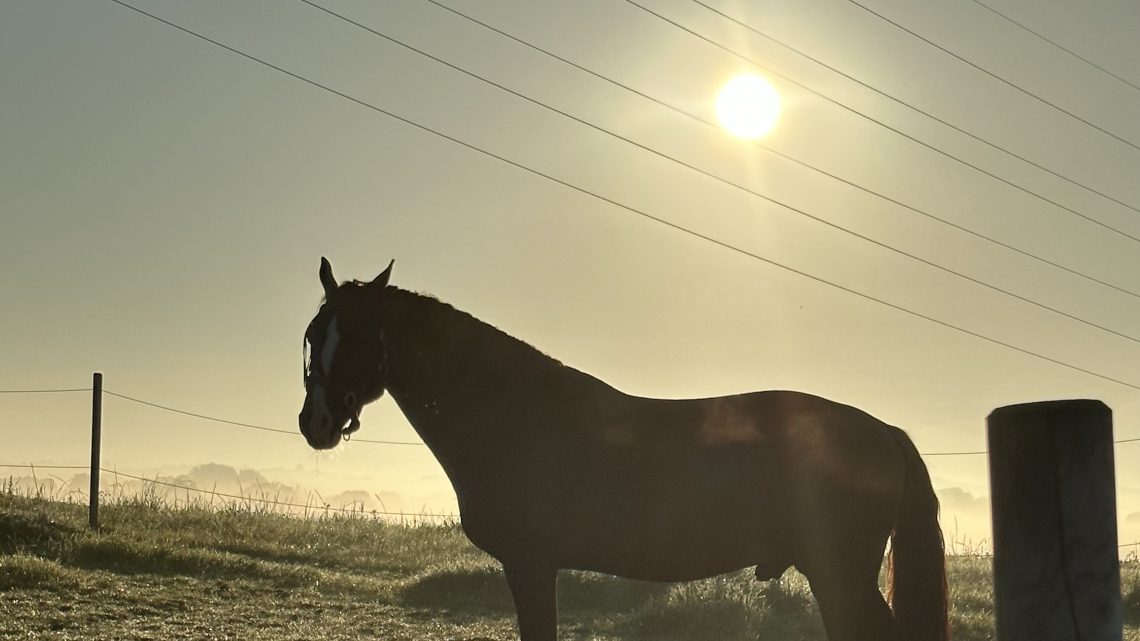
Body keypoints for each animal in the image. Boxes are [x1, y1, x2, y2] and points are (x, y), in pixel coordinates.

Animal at [298, 256, 948, 634]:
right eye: (312, 334)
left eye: (360, 336)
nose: (315, 422)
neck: (515, 416)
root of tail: (884, 431)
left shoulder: (531, 563)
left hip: (840, 578)